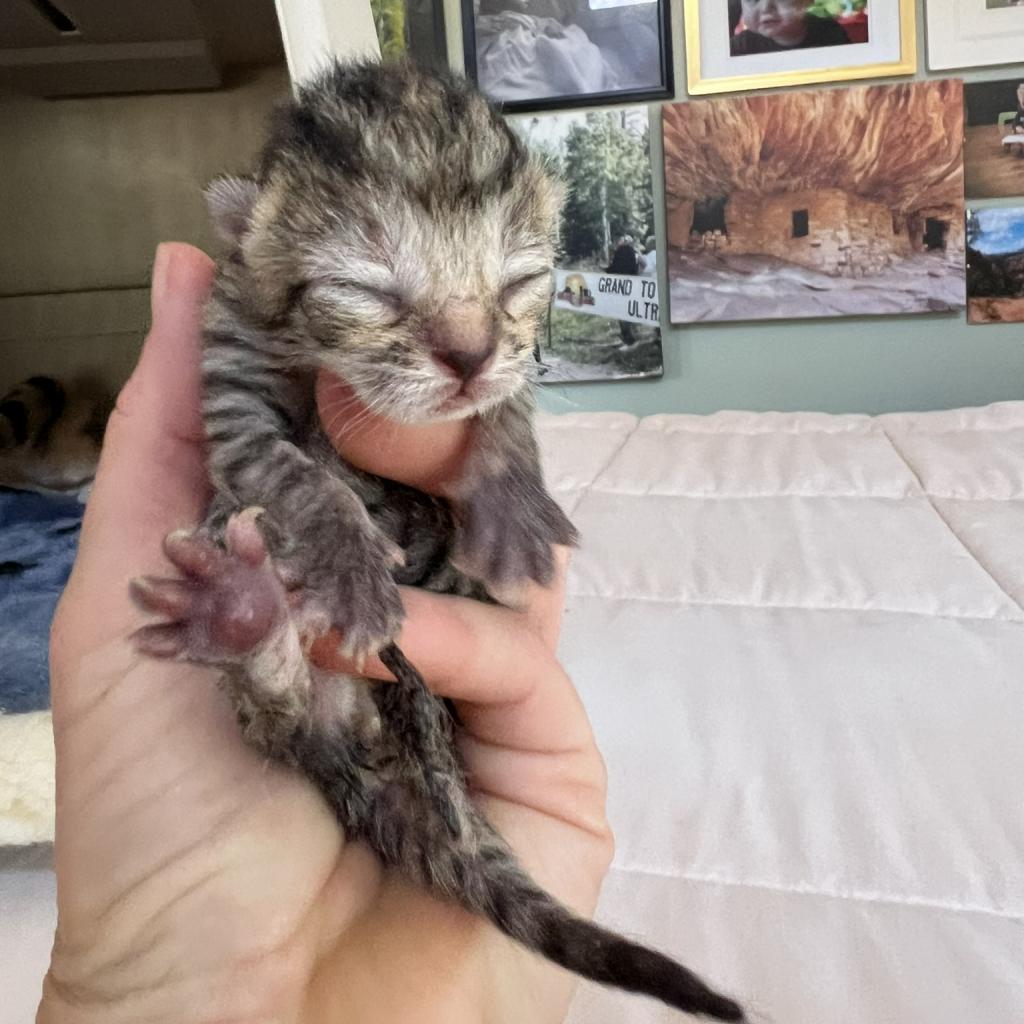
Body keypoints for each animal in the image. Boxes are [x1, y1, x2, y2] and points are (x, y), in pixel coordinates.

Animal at [130, 59, 745, 1019]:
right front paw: (349, 560)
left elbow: (511, 406)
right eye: (369, 289)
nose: (468, 352)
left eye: (520, 280)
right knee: (280, 713)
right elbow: (291, 474)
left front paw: (511, 501)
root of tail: (363, 762)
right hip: (297, 716)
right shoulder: (229, 386)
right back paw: (241, 613)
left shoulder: (512, 363)